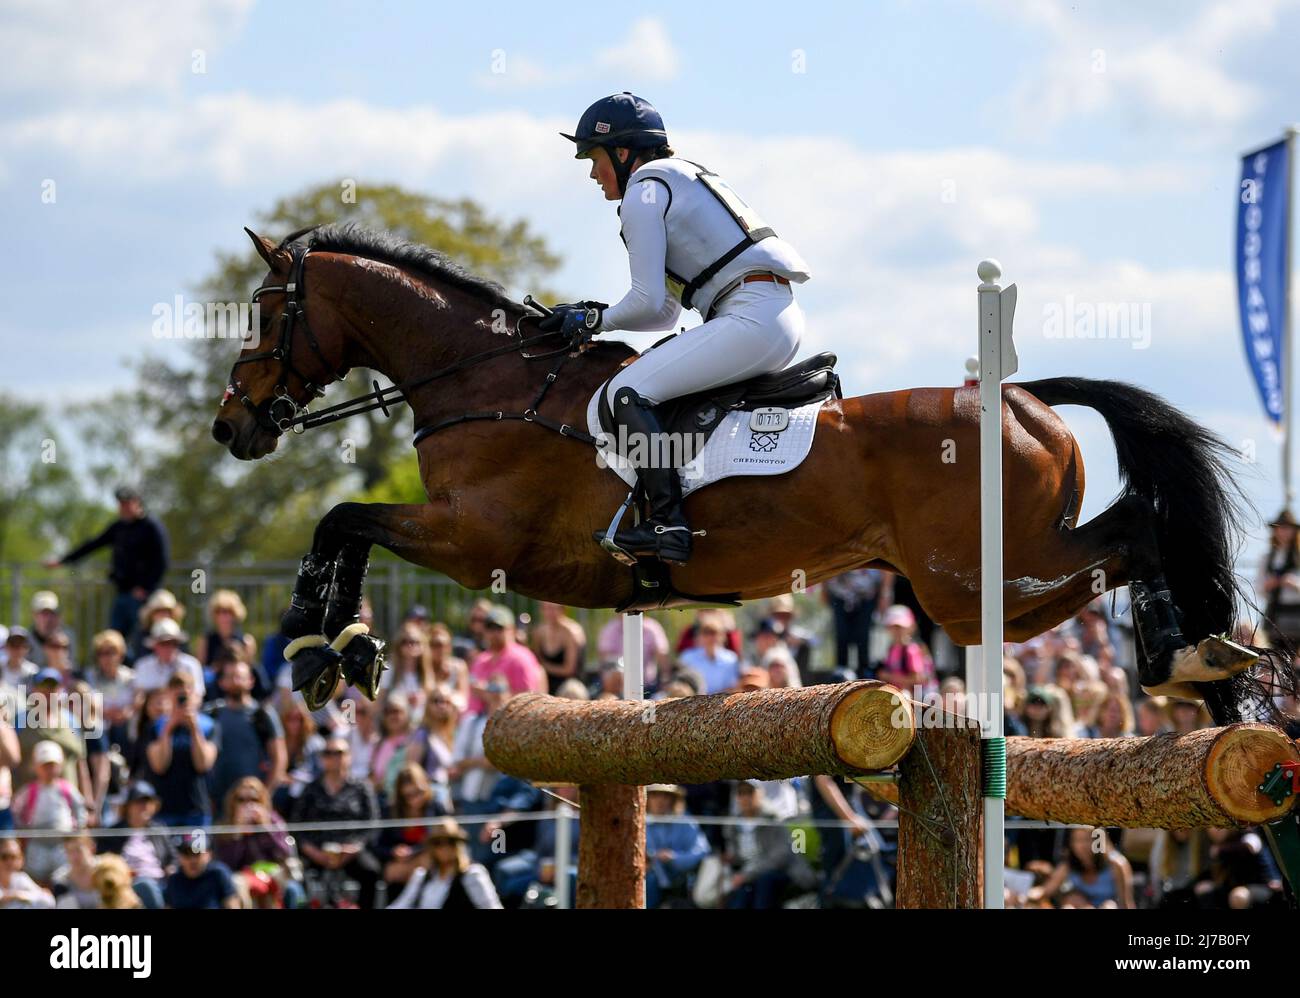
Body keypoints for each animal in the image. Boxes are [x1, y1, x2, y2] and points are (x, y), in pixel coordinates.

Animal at [213, 226, 1279, 727]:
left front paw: (317, 643)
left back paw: (1188, 657)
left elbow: (342, 518)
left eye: (265, 309)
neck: (491, 381)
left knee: (1133, 531)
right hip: (982, 587)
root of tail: (1021, 397)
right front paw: (339, 647)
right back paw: (1200, 662)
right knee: (1131, 533)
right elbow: (345, 522)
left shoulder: (479, 543)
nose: (234, 425)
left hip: (968, 585)